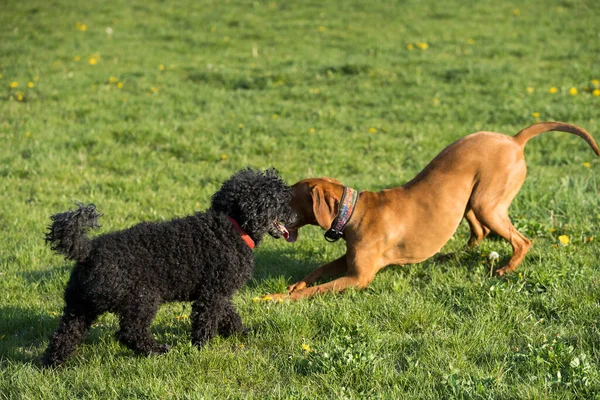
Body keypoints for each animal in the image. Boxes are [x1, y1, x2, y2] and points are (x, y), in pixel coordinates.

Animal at [42, 167, 296, 368]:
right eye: (278, 200)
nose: (294, 215)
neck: (230, 226)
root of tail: (88, 250)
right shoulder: (212, 294)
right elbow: (206, 322)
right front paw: (202, 349)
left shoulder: (216, 292)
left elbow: (229, 315)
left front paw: (240, 333)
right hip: (143, 298)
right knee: (130, 332)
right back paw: (157, 351)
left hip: (79, 306)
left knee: (65, 335)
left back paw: (52, 365)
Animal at [274, 122, 596, 300]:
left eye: (288, 197)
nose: (271, 217)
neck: (353, 213)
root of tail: (514, 139)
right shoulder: (348, 261)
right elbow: (318, 271)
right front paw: (293, 285)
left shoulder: (358, 278)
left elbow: (313, 291)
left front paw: (276, 298)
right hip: (468, 202)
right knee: (480, 232)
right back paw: (450, 256)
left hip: (487, 204)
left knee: (522, 240)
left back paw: (507, 268)